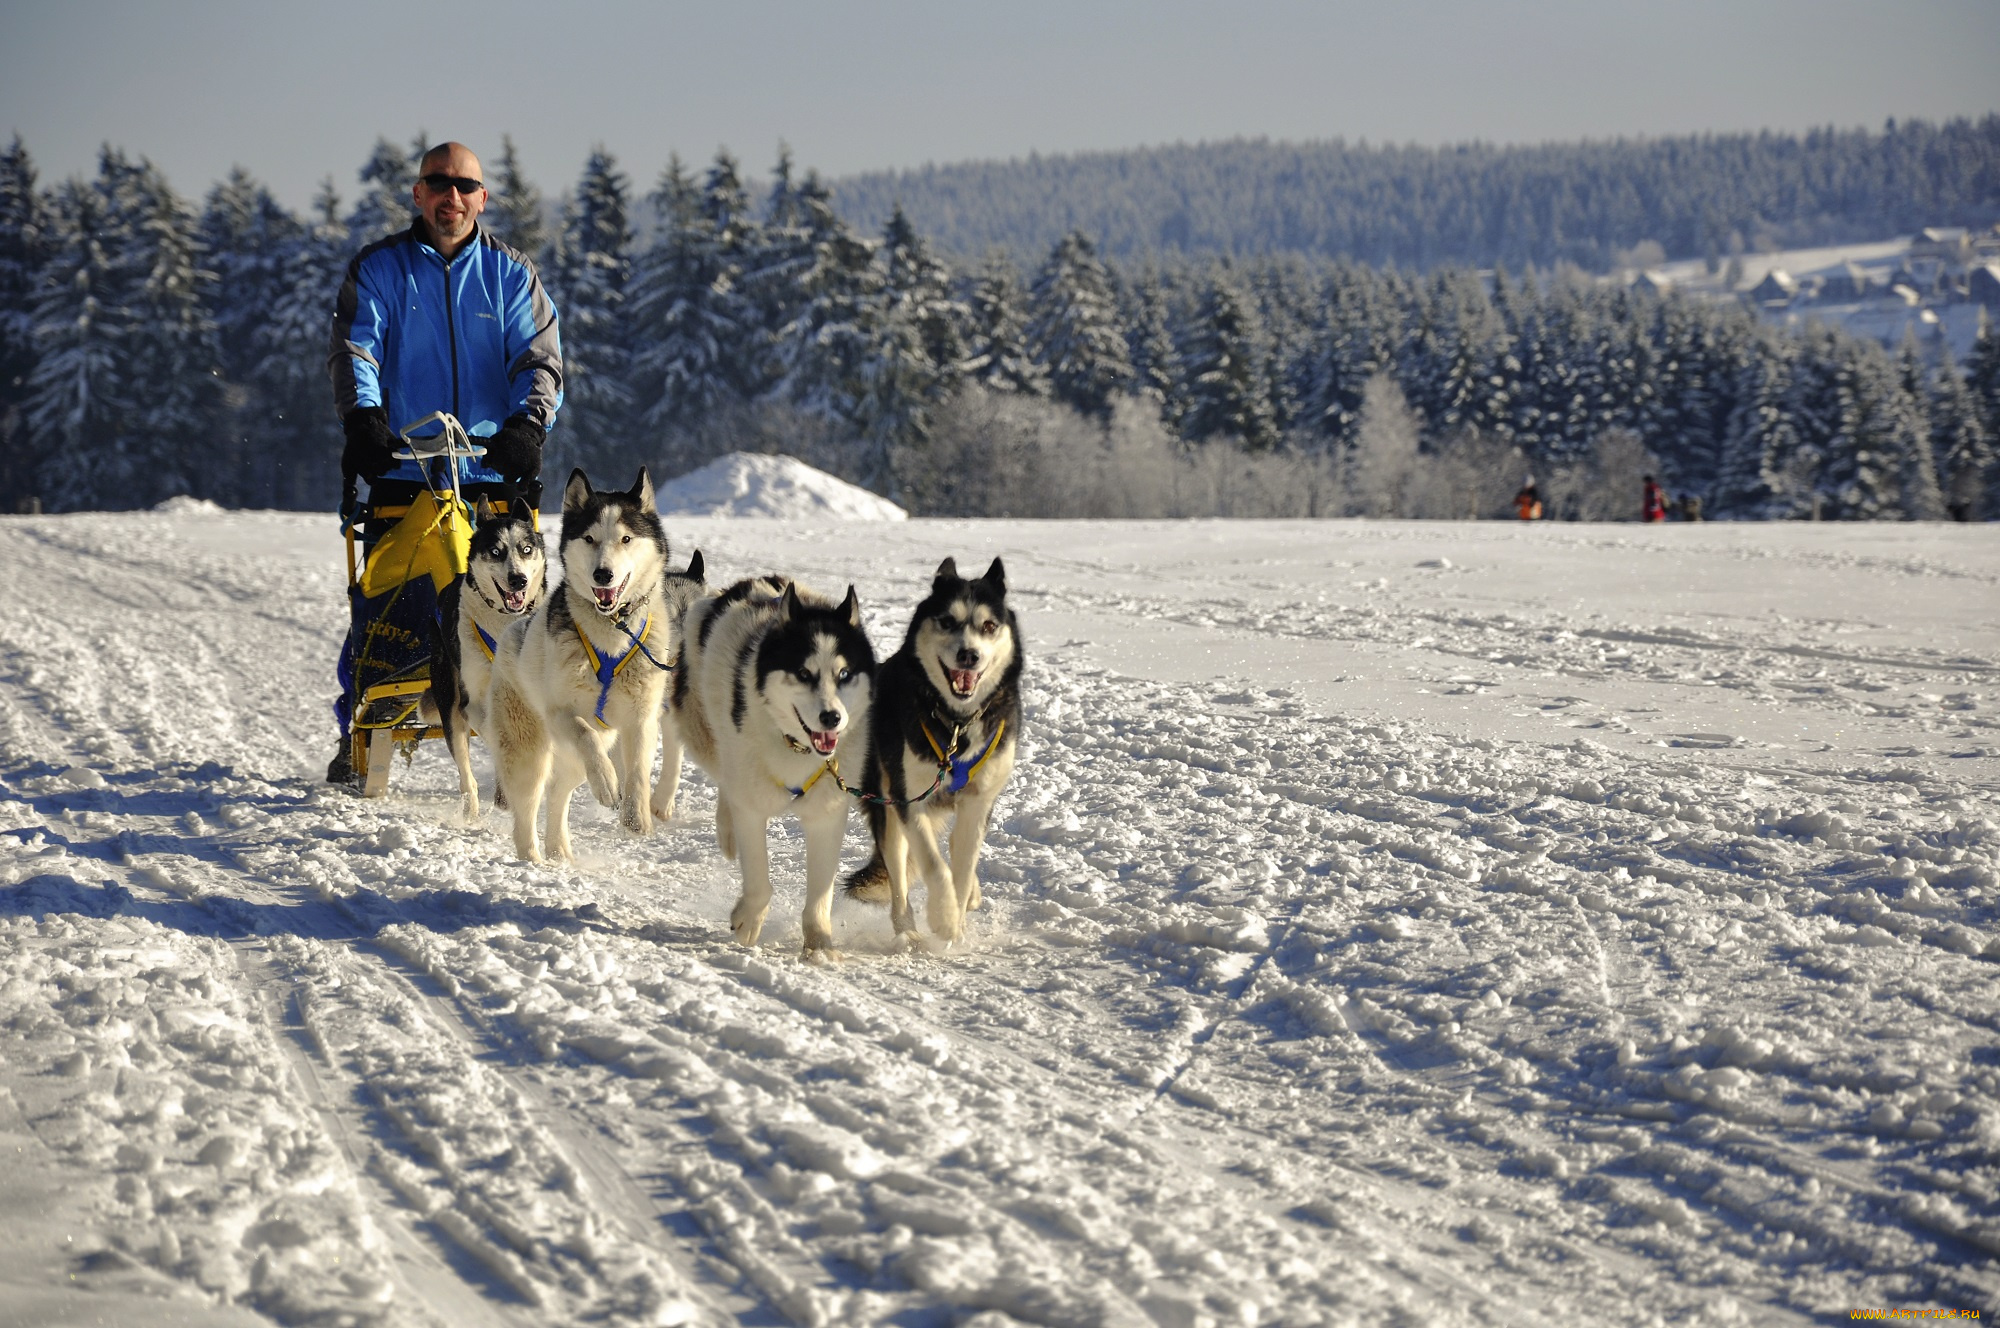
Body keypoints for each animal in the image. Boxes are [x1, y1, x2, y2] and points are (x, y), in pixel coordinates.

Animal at [432, 488, 548, 820]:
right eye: (496, 552)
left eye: (526, 549)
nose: (518, 580)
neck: (502, 624)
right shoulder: (471, 702)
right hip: (450, 704)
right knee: (465, 773)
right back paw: (472, 809)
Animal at [486, 466, 676, 860]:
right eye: (589, 538)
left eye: (626, 539)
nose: (603, 574)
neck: (612, 631)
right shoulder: (560, 713)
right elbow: (585, 735)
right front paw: (605, 783)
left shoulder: (641, 718)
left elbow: (637, 771)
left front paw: (636, 817)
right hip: (529, 751)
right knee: (528, 807)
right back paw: (532, 859)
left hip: (571, 759)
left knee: (559, 793)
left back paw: (560, 852)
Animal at [676, 576, 872, 948]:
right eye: (803, 673)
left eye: (844, 674)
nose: (831, 717)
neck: (795, 747)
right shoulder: (752, 806)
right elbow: (758, 879)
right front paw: (749, 919)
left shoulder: (826, 815)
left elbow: (820, 896)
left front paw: (819, 945)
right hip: (706, 734)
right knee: (725, 779)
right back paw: (727, 829)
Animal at [848, 556, 1024, 944]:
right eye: (946, 621)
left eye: (989, 625)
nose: (969, 655)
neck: (957, 723)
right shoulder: (909, 799)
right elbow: (934, 865)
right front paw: (943, 916)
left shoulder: (977, 804)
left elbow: (962, 868)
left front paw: (956, 917)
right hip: (888, 805)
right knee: (899, 876)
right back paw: (908, 932)